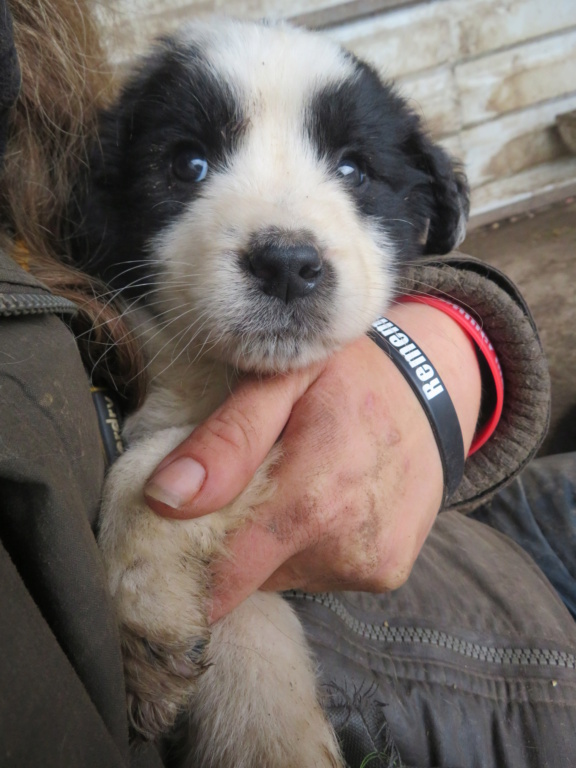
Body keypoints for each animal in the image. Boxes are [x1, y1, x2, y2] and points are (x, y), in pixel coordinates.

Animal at [72, 18, 468, 768]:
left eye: (354, 169)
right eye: (188, 165)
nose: (287, 265)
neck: (225, 378)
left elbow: (153, 469)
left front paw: (142, 610)